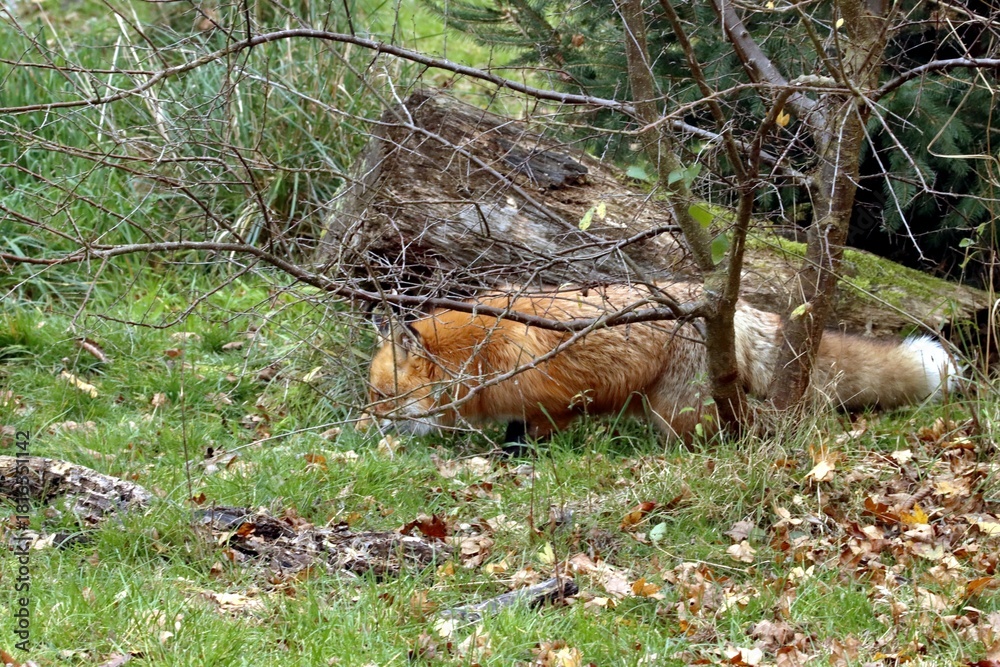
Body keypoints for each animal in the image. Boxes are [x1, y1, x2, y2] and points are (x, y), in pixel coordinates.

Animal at [365, 282, 959, 441]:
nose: (361, 425)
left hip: (677, 410)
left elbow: (531, 436)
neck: (480, 354)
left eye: (380, 396)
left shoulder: (555, 402)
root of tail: (733, 308)